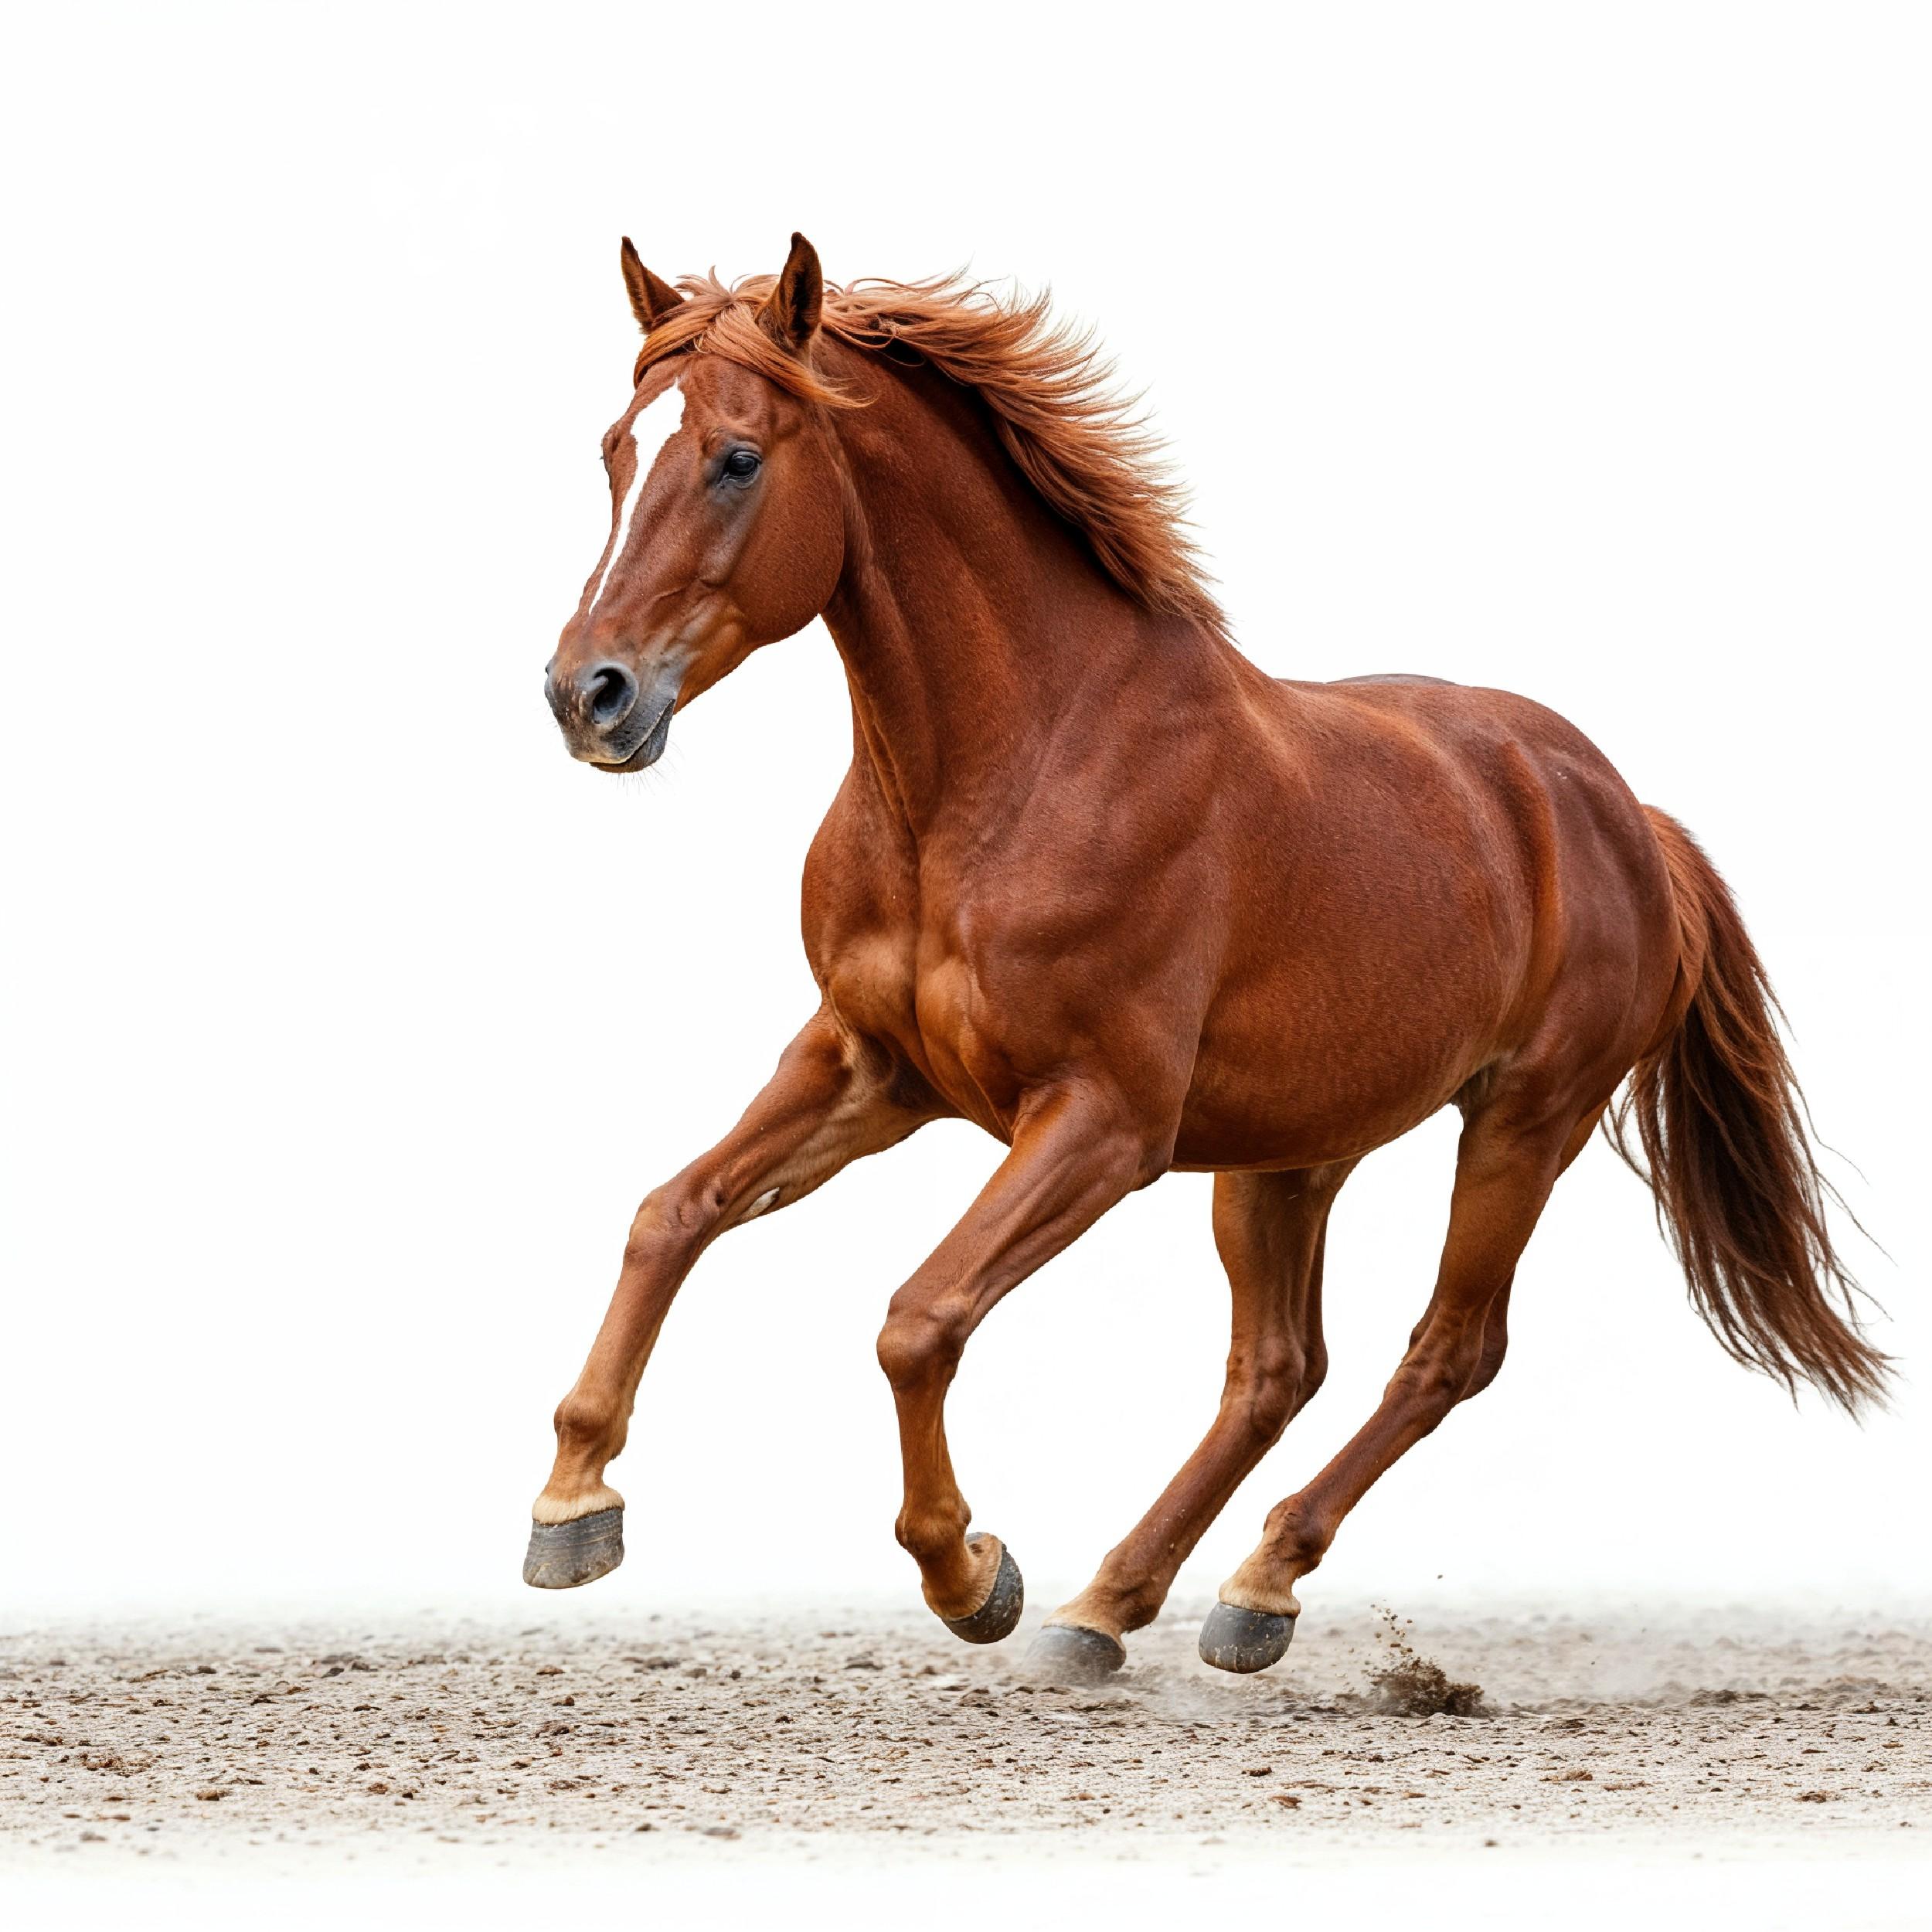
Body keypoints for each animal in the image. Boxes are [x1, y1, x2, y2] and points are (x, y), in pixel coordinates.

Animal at [527, 233, 1883, 1682]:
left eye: (736, 457)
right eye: (614, 449)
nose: (588, 695)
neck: (1007, 771)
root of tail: (1628, 816)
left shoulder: (1102, 1122)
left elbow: (918, 1320)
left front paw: (971, 1575)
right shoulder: (869, 1065)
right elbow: (673, 1213)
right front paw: (573, 1507)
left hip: (1526, 1120)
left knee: (1445, 1354)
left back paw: (1247, 1585)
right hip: (1289, 1151)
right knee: (1278, 1368)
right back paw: (1112, 1607)